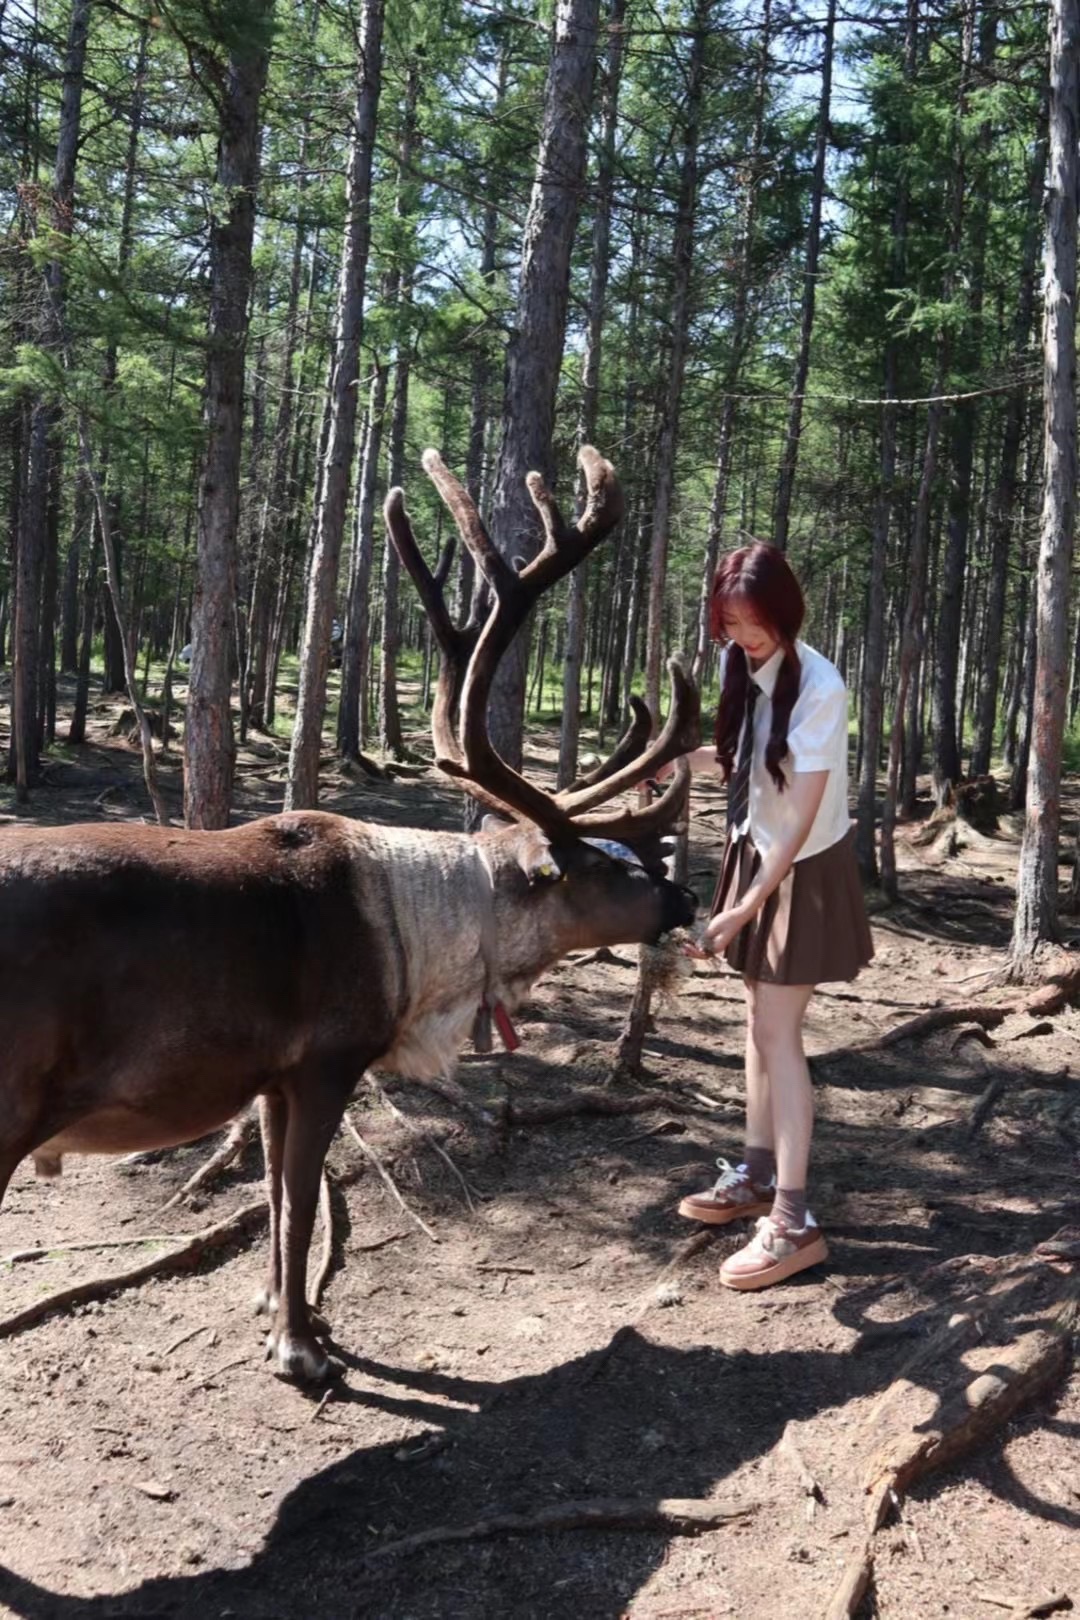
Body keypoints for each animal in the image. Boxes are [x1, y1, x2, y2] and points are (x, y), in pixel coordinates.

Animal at [0, 447, 700, 1383]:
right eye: (599, 865)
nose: (685, 895)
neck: (418, 953)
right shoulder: (326, 1060)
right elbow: (300, 1202)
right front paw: (299, 1347)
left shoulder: (267, 1076)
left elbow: (268, 1192)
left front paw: (273, 1307)